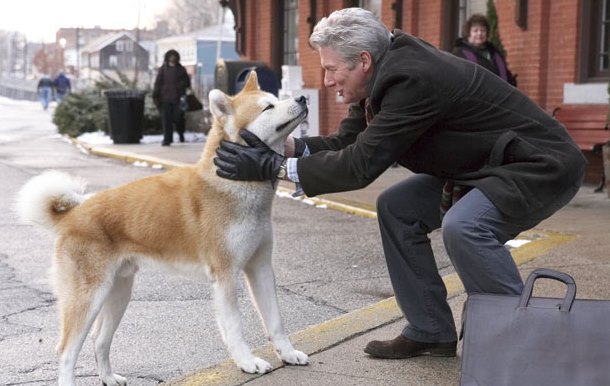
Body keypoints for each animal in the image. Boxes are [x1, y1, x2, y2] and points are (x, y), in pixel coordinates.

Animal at [15, 71, 308, 384]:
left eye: (277, 99)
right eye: (268, 107)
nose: (303, 98)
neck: (233, 184)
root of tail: (73, 215)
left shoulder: (261, 267)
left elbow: (276, 321)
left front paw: (288, 354)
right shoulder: (226, 274)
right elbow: (235, 327)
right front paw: (247, 361)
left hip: (118, 292)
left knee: (99, 340)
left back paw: (108, 377)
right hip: (88, 298)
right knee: (67, 351)